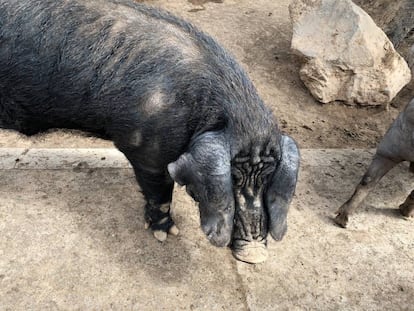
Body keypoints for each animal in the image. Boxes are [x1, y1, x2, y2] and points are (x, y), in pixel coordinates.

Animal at [0, 0, 300, 264]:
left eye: (268, 178)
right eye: (233, 178)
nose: (255, 256)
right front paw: (166, 235)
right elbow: (161, 193)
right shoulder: (147, 151)